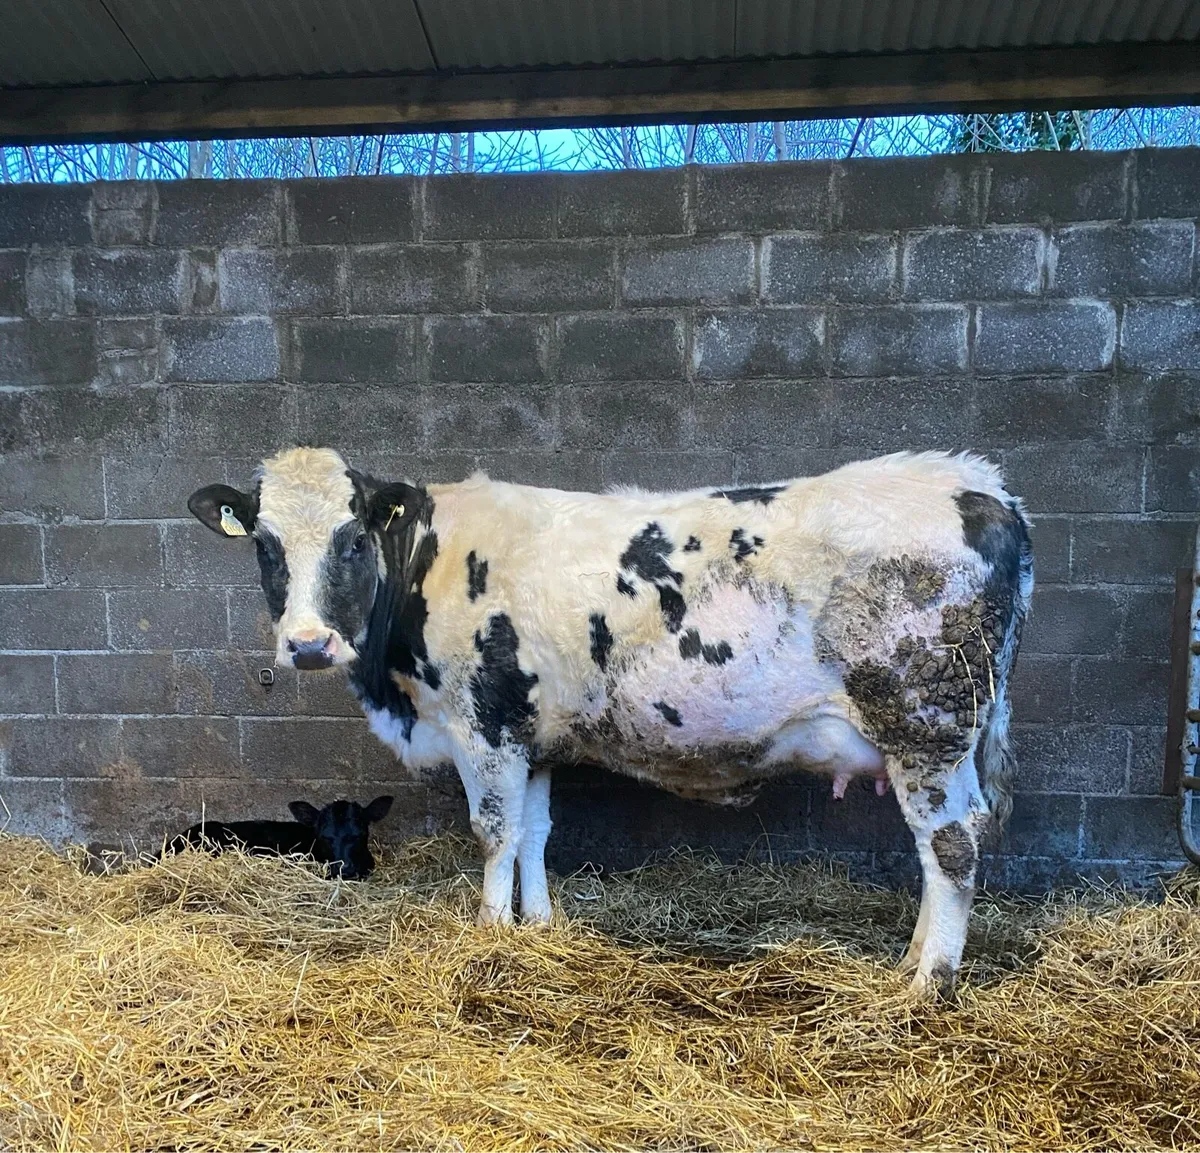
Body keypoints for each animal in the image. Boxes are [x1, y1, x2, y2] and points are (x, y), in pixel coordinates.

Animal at [188, 446, 1033, 998]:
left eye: (353, 538)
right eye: (265, 545)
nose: (307, 643)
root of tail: (978, 483)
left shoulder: (482, 724)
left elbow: (493, 832)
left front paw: (490, 933)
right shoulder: (532, 735)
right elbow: (534, 831)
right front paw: (536, 924)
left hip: (925, 726)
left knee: (952, 846)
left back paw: (928, 983)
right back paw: (913, 959)